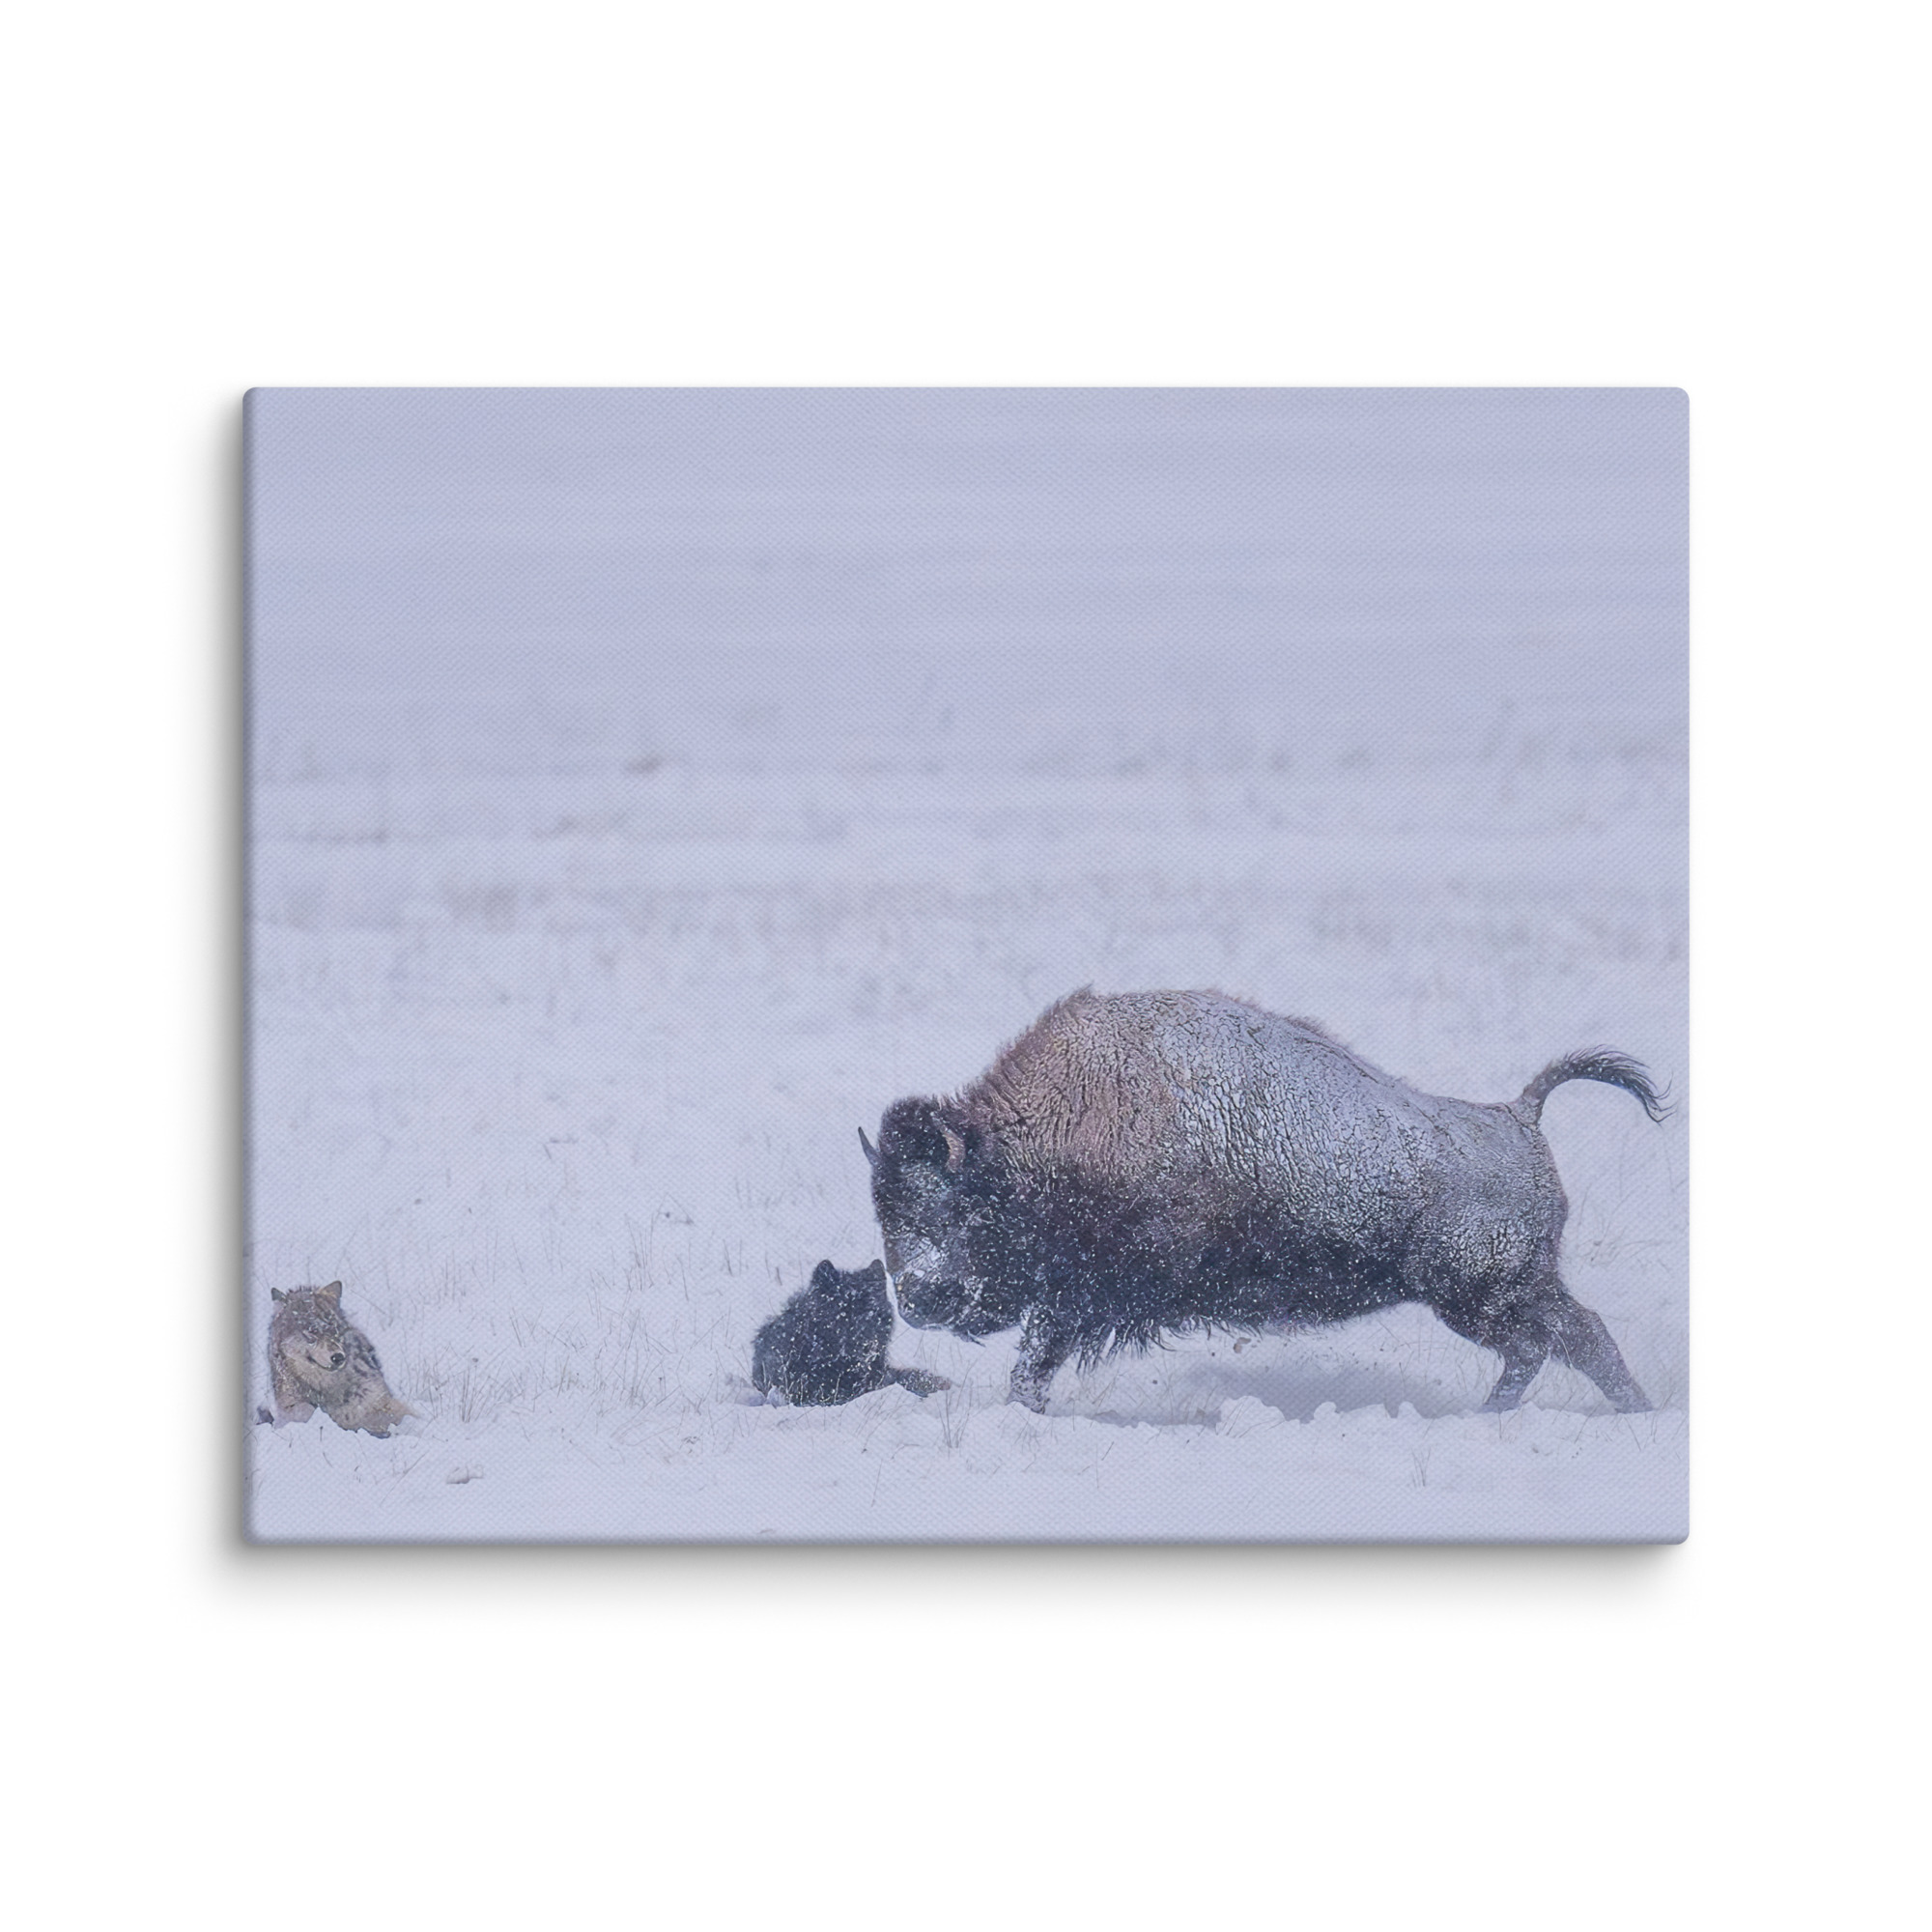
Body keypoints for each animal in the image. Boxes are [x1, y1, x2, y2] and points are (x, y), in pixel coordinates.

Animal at [860, 988, 1668, 1415]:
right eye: (885, 1211)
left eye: (952, 1208)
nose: (917, 1298)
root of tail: (1518, 1115)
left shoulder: (1085, 1298)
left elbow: (1035, 1358)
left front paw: (1026, 1406)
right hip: (1506, 1290)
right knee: (1568, 1340)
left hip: (1479, 1295)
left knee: (1553, 1341)